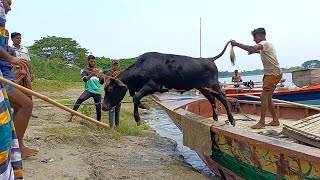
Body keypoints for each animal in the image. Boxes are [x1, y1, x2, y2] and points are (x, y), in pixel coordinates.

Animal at [102, 41, 235, 126]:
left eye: (109, 90)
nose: (103, 107)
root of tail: (208, 59)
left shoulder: (152, 85)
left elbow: (136, 96)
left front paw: (138, 119)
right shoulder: (137, 87)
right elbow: (135, 97)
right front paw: (143, 106)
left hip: (213, 84)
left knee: (223, 98)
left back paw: (231, 120)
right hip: (203, 87)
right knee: (212, 99)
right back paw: (215, 118)